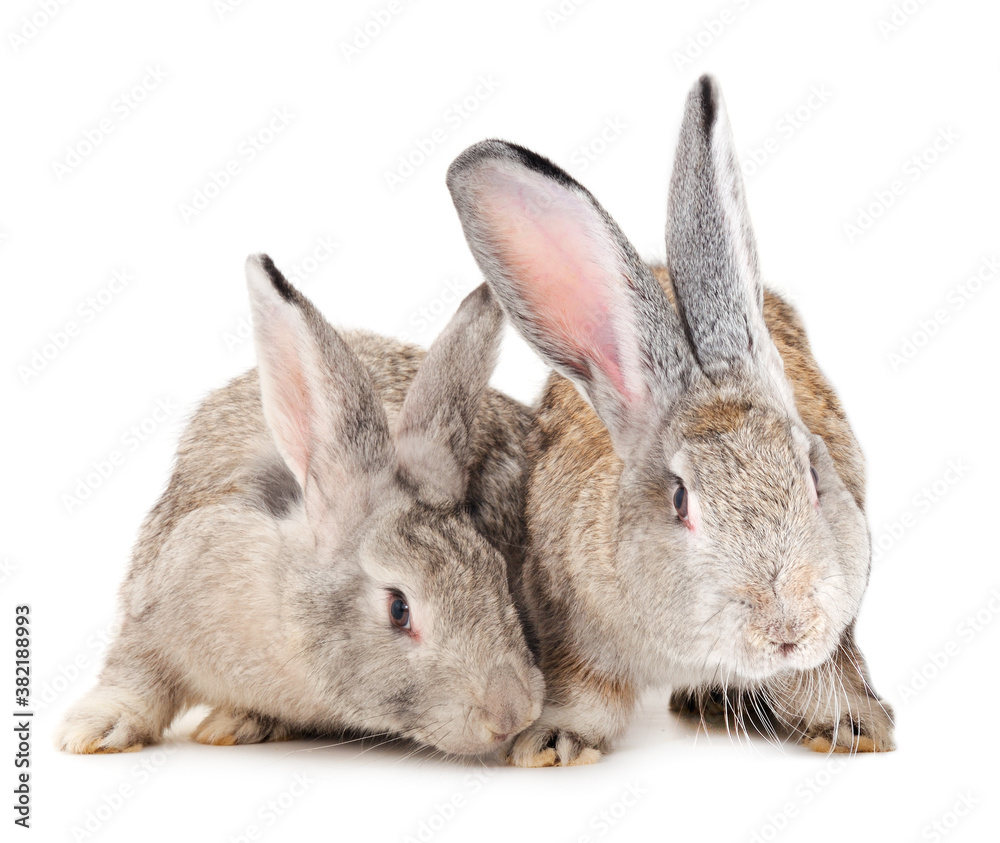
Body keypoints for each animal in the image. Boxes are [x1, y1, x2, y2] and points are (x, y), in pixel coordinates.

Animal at [55, 254, 544, 757]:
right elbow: (136, 675)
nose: (511, 712)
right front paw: (94, 731)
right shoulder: (157, 599)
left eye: (497, 575)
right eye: (398, 608)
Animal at [445, 74, 895, 766]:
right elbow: (585, 689)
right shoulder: (573, 622)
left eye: (814, 478)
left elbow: (827, 672)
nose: (785, 627)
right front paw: (553, 744)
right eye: (680, 499)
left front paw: (852, 728)